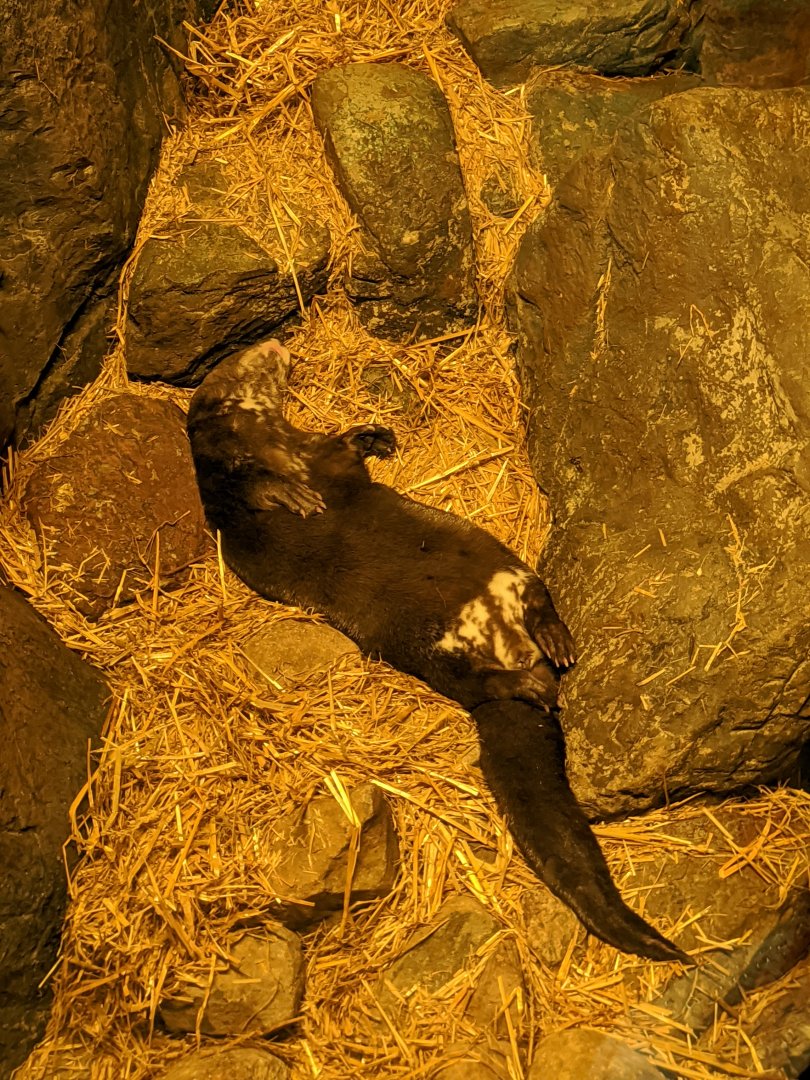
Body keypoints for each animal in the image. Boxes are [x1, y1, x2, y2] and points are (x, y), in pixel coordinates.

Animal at [187, 338, 688, 965]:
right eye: (246, 355)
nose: (275, 341)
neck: (276, 442)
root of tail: (512, 651)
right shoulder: (222, 488)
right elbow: (242, 491)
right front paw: (293, 494)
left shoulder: (321, 451)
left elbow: (344, 450)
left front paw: (375, 436)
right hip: (426, 648)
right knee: (480, 681)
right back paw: (532, 679)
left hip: (506, 573)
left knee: (535, 607)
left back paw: (554, 644)